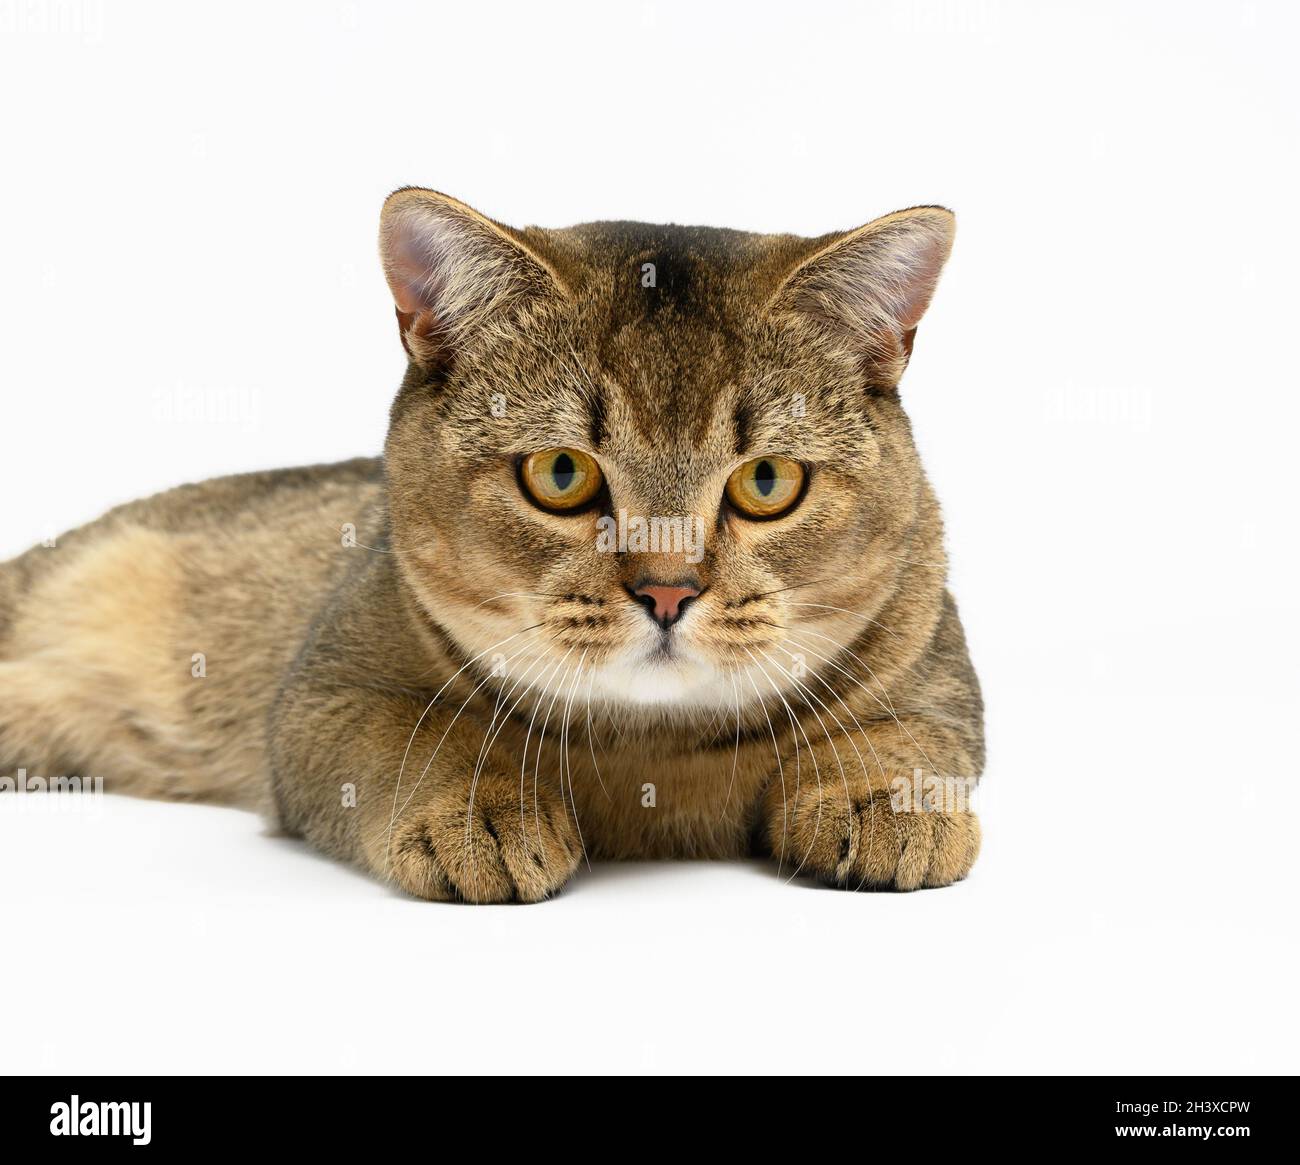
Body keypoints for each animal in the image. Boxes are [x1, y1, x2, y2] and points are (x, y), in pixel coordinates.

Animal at [0, 188, 977, 899]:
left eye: (767, 482)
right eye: (560, 473)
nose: (667, 591)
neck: (648, 753)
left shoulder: (940, 673)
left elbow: (911, 735)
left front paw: (885, 795)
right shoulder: (319, 694)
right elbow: (418, 730)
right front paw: (478, 807)